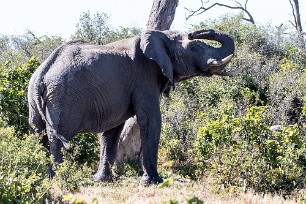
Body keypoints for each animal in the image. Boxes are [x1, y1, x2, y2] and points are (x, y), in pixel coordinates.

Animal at [27, 29, 235, 186]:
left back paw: (43, 176)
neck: (162, 37)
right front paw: (153, 182)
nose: (193, 32)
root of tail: (42, 73)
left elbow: (111, 131)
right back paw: (59, 178)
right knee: (58, 136)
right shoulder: (144, 77)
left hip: (34, 99)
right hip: (63, 98)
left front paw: (102, 180)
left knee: (38, 134)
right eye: (194, 47)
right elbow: (150, 121)